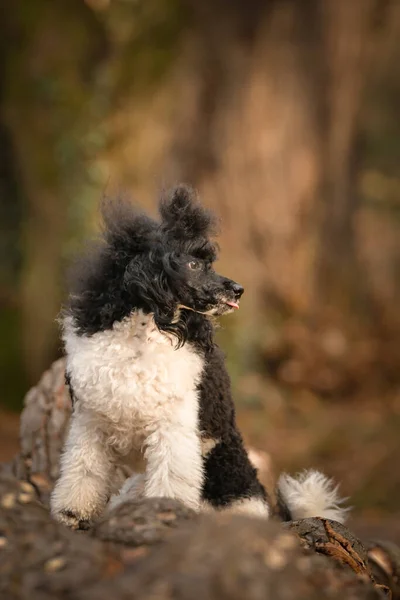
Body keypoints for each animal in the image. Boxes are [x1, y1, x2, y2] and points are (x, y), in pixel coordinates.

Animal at [51, 185, 346, 528]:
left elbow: (171, 476)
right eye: (193, 264)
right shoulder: (91, 420)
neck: (142, 334)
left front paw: (166, 512)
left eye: (210, 263)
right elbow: (83, 469)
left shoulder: (174, 424)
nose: (238, 289)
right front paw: (73, 514)